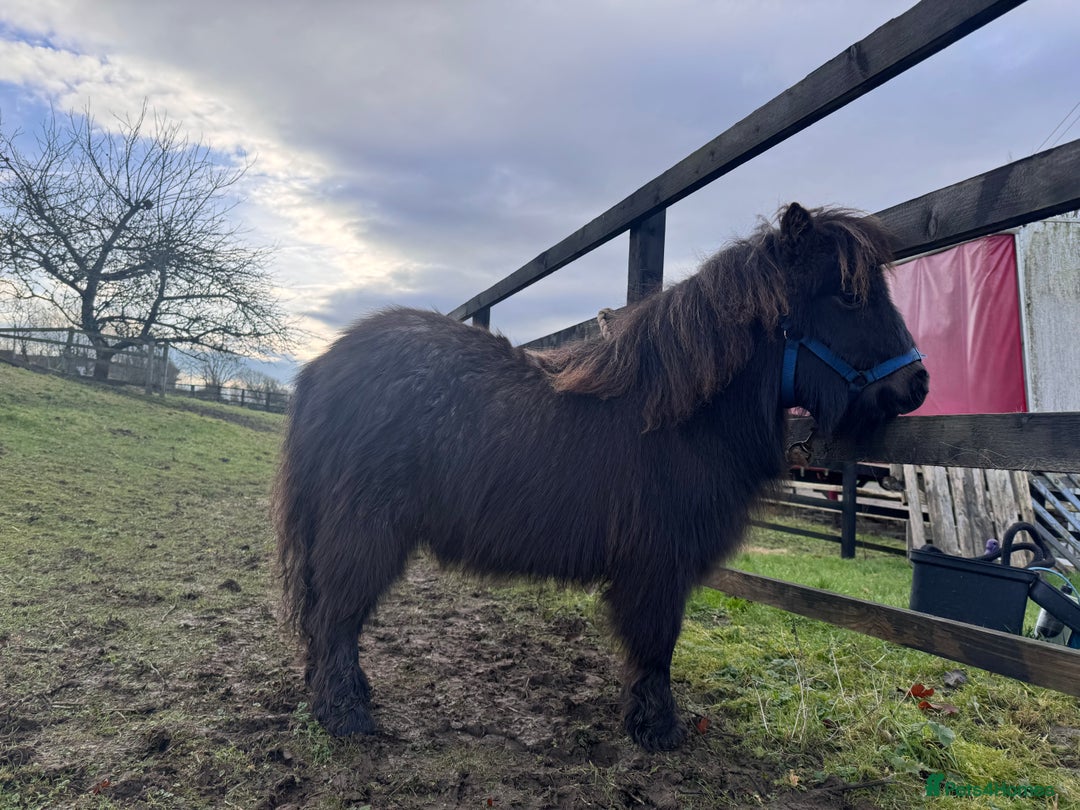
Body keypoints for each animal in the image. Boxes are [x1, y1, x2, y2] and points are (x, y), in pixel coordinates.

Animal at [274, 202, 928, 751]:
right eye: (848, 297)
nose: (917, 385)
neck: (673, 418)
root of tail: (324, 367)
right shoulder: (658, 565)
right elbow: (656, 645)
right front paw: (657, 729)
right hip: (365, 532)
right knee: (336, 617)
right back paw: (346, 715)